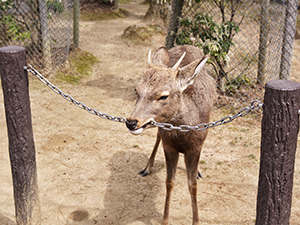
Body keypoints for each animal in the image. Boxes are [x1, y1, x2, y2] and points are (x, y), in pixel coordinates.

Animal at [125, 45, 217, 225]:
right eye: (136, 90)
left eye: (163, 96)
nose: (131, 122)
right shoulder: (169, 146)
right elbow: (169, 182)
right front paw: (165, 220)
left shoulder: (195, 147)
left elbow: (192, 185)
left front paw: (196, 221)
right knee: (157, 137)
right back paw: (147, 167)